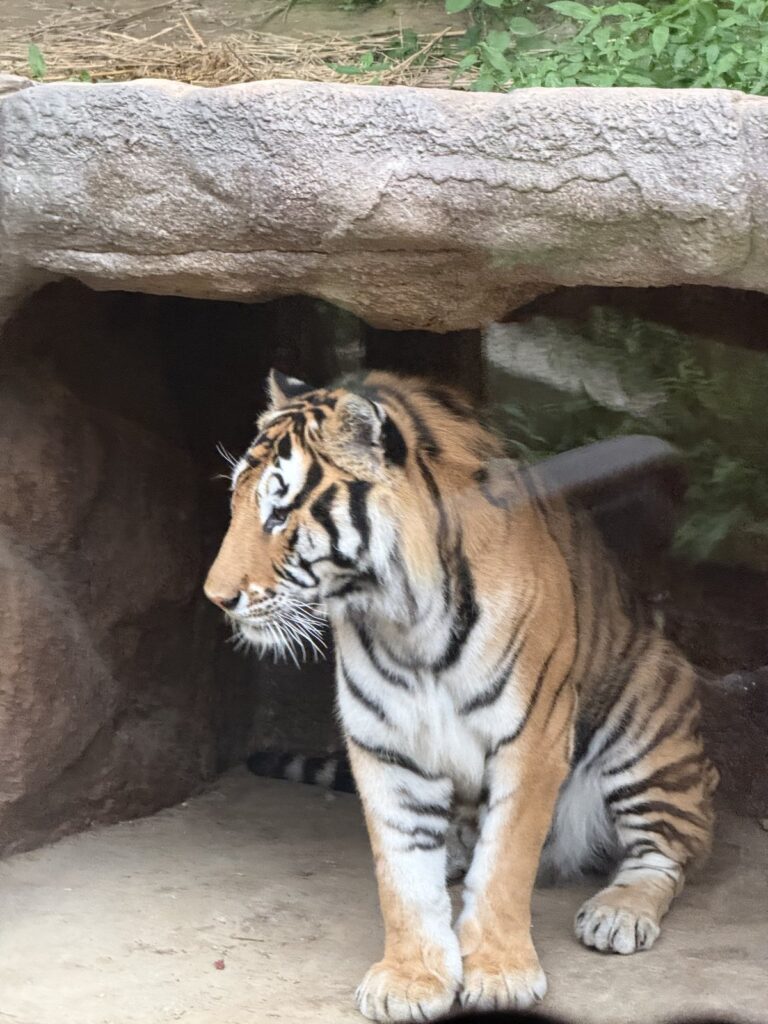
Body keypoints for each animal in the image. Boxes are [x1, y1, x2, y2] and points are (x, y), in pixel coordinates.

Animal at [204, 369, 717, 1024]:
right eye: (236, 502)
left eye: (279, 512)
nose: (216, 597)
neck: (404, 619)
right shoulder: (385, 745)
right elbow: (401, 876)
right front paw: (410, 978)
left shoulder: (532, 738)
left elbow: (504, 866)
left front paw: (499, 974)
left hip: (646, 722)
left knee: (671, 851)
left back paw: (617, 913)